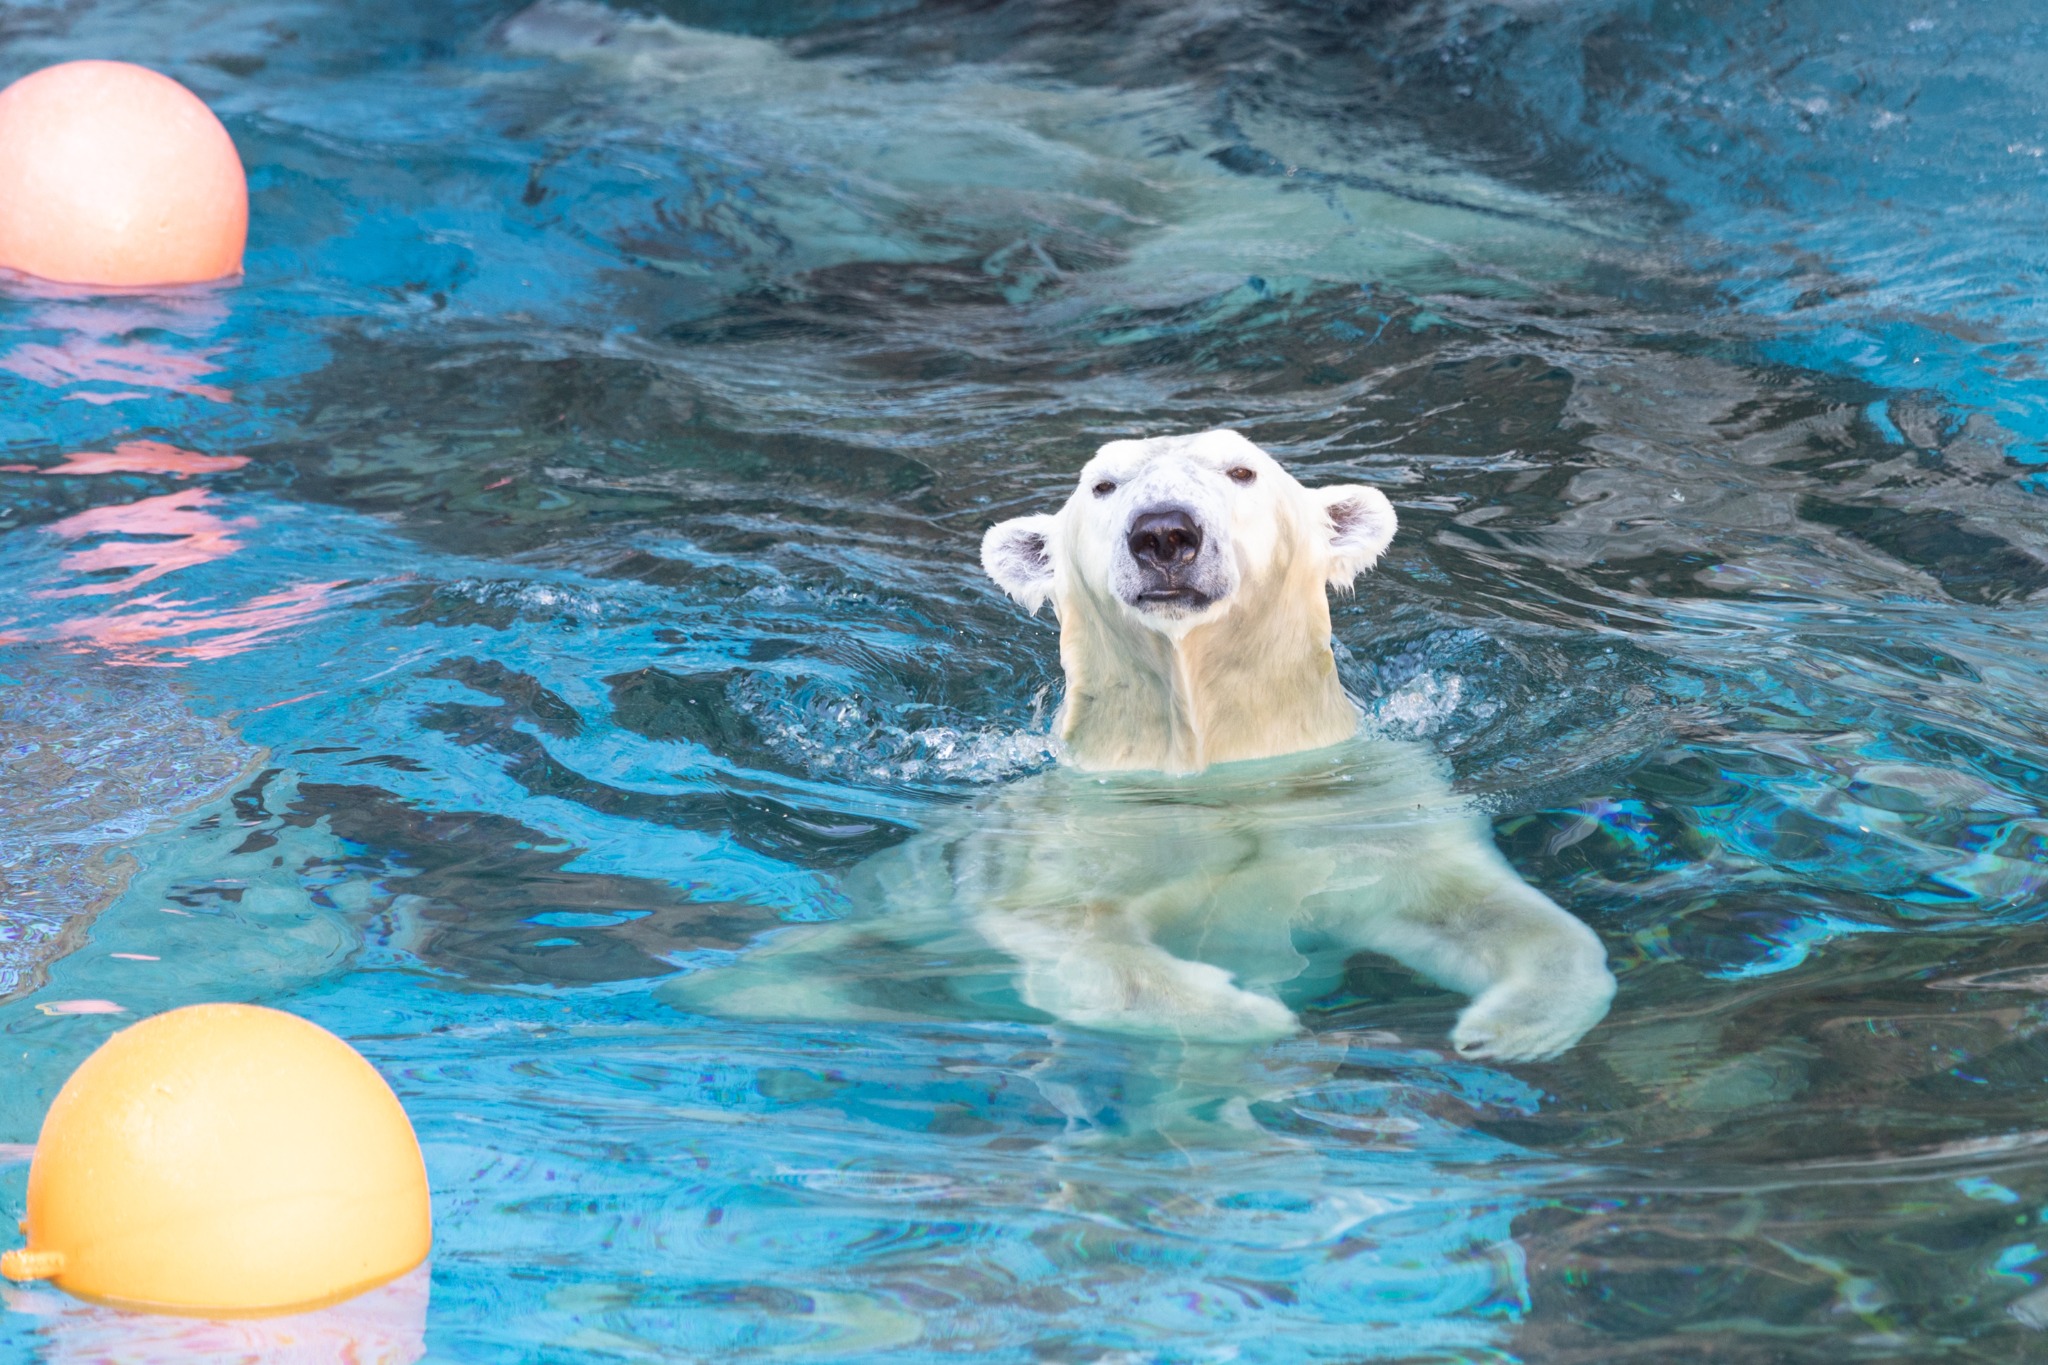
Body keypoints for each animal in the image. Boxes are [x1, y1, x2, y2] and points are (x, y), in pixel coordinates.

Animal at [666, 429, 1616, 1062]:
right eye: (1103, 484)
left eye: (1242, 468)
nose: (1163, 530)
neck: (1214, 762)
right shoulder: (1061, 837)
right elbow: (1078, 939)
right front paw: (1249, 1013)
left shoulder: (1361, 807)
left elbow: (1477, 906)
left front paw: (1506, 1026)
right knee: (779, 979)